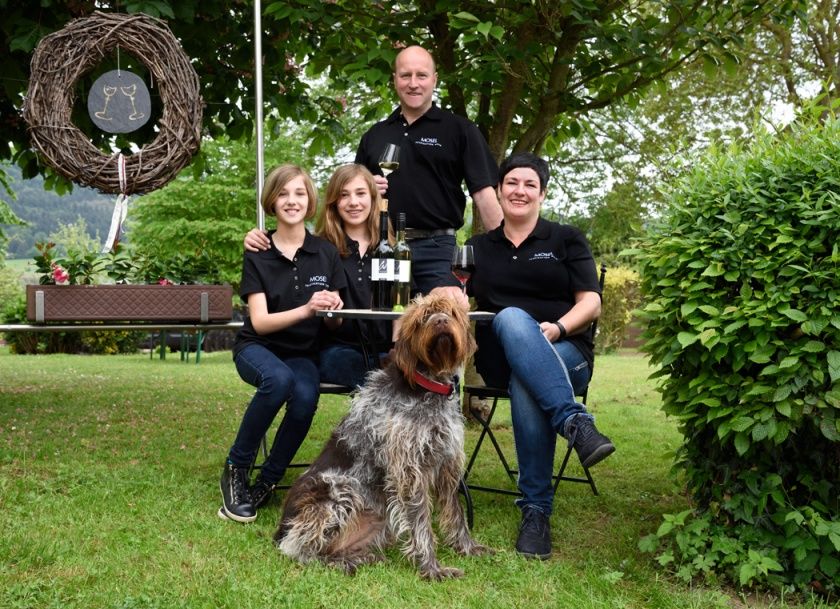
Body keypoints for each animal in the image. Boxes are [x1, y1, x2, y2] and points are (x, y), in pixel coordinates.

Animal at [274, 294, 492, 580]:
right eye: (423, 318)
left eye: (452, 313)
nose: (440, 321)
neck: (428, 386)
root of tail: (280, 529)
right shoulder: (409, 471)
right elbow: (421, 523)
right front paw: (432, 568)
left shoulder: (447, 463)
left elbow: (456, 514)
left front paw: (467, 547)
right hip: (340, 489)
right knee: (299, 549)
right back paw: (340, 562)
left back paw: (359, 557)